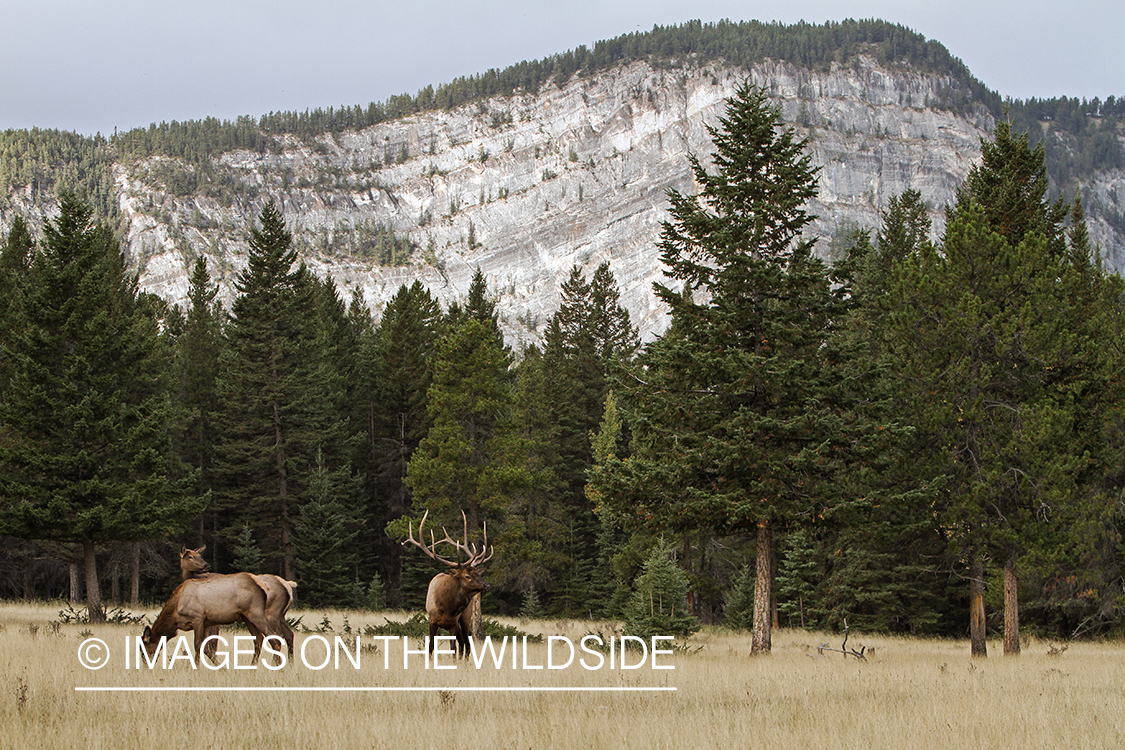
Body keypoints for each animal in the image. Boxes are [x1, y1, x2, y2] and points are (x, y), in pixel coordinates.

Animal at [402, 510, 493, 658]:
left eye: (478, 574)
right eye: (467, 576)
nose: (487, 585)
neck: (447, 606)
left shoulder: (453, 623)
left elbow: (453, 648)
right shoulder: (432, 621)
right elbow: (431, 646)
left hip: (466, 617)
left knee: (467, 642)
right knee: (463, 642)